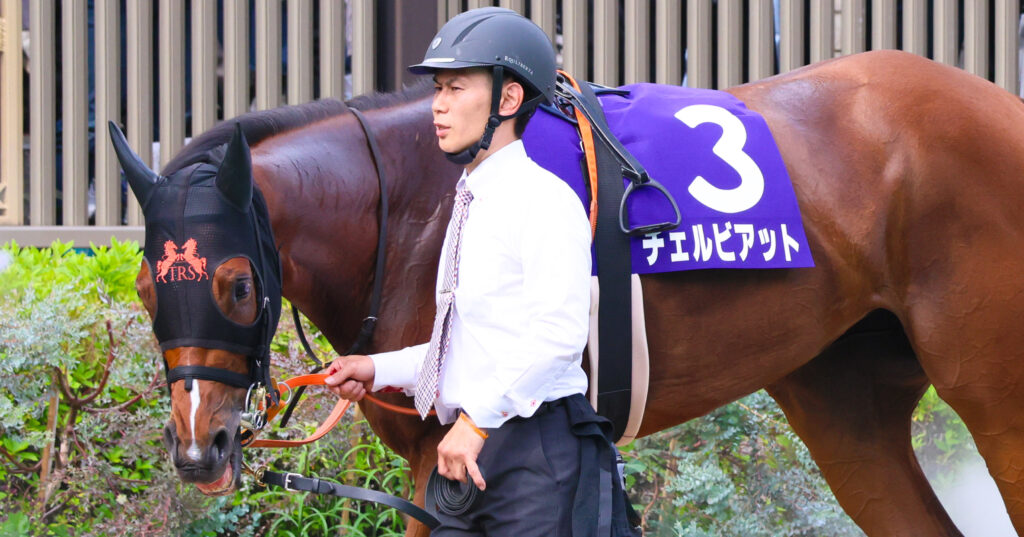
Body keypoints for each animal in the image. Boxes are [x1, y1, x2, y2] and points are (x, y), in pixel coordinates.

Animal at [113, 49, 1024, 536]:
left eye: (236, 284)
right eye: (146, 287)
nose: (199, 449)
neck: (420, 200)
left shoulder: (447, 462)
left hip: (994, 395)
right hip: (842, 396)